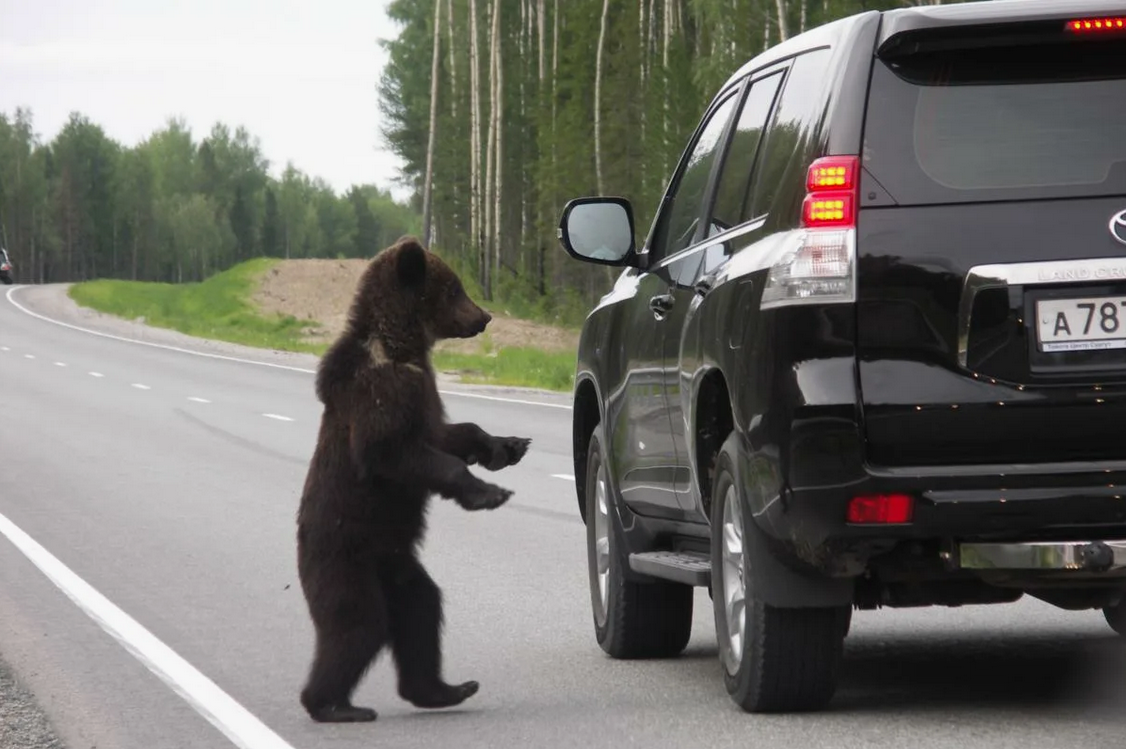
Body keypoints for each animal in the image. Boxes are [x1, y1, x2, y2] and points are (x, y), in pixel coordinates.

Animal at [295, 236, 531, 720]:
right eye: (455, 288)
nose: (484, 316)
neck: (402, 347)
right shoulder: (381, 392)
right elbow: (392, 453)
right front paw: (489, 493)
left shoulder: (424, 392)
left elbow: (448, 433)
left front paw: (508, 446)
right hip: (346, 557)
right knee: (359, 625)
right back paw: (334, 705)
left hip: (399, 566)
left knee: (422, 610)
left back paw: (445, 688)